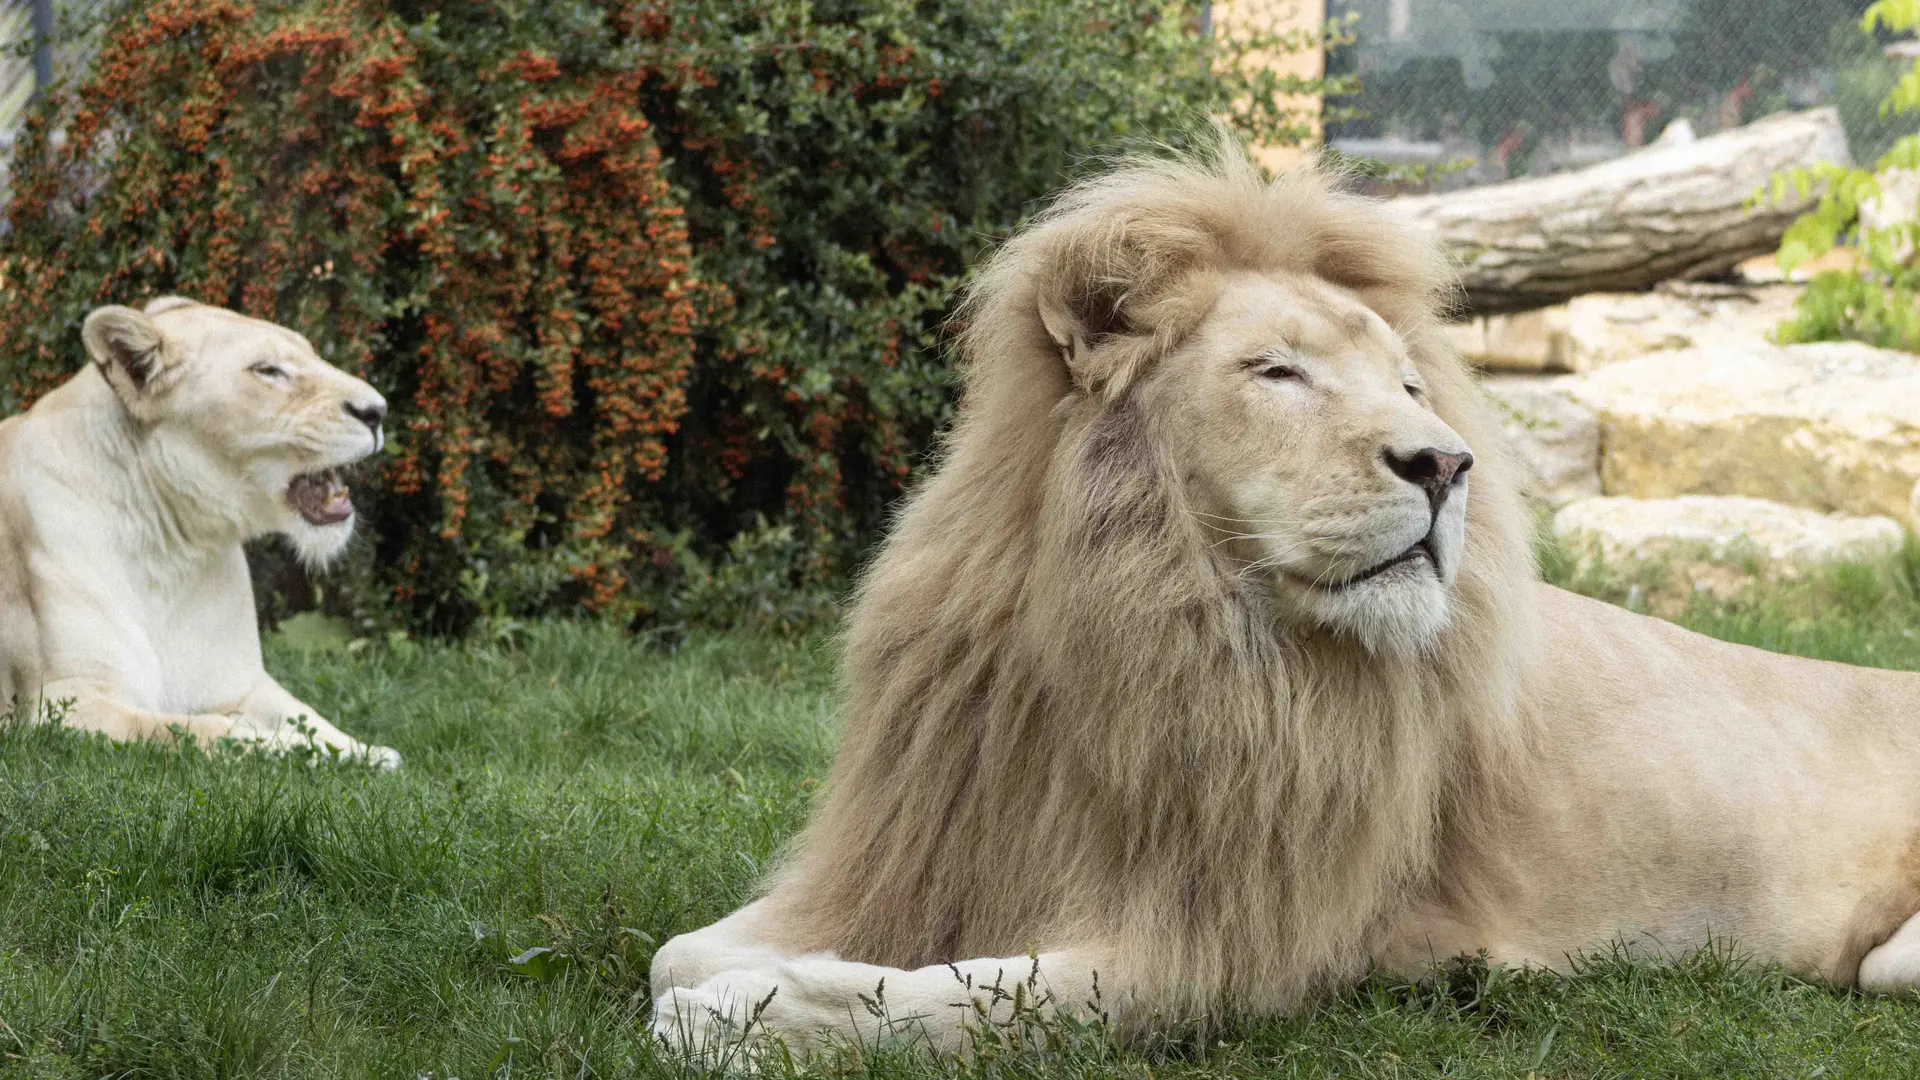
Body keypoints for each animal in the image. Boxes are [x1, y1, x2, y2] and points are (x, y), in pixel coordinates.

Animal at [0, 297, 399, 767]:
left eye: (313, 354)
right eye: (268, 370)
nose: (378, 411)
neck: (172, 552)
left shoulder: (237, 683)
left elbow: (305, 714)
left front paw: (366, 752)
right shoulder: (61, 706)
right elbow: (199, 732)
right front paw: (292, 747)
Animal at [649, 140, 1920, 1056]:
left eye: (1410, 386)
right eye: (1279, 372)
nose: (1445, 464)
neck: (1119, 628)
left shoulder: (1211, 948)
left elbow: (939, 1005)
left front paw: (742, 1017)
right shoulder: (927, 847)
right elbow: (679, 947)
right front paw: (733, 977)